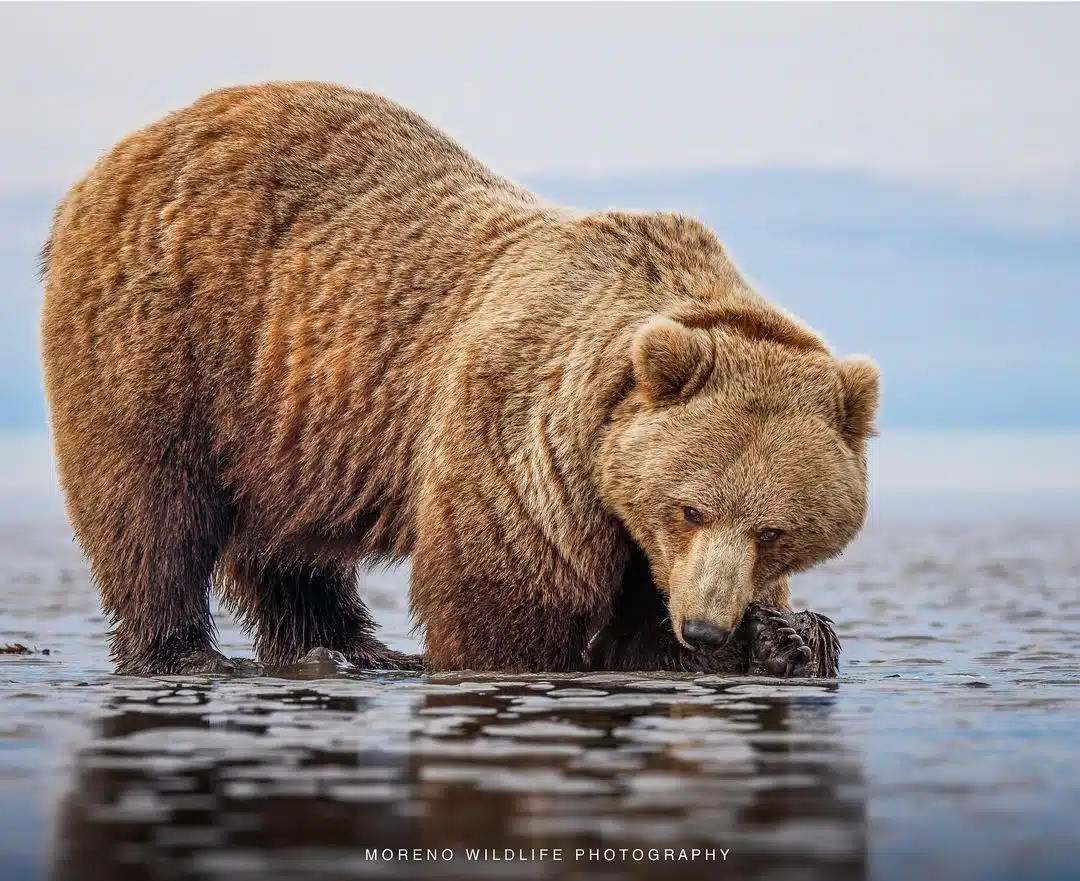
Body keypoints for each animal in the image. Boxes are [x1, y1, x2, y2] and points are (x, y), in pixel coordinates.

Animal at [39, 80, 876, 673]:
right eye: (690, 508)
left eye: (775, 529)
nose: (704, 623)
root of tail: (116, 158)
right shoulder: (528, 441)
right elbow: (503, 602)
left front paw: (790, 637)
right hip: (172, 337)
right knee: (151, 502)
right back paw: (187, 650)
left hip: (285, 415)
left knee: (288, 541)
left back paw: (348, 646)